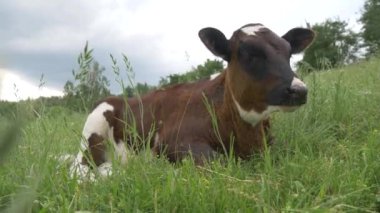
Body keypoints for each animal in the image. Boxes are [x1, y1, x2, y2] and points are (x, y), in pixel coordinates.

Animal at [70, 22, 314, 177]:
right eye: (249, 54)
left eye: (289, 53)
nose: (299, 90)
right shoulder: (173, 142)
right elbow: (217, 162)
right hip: (92, 130)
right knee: (80, 167)